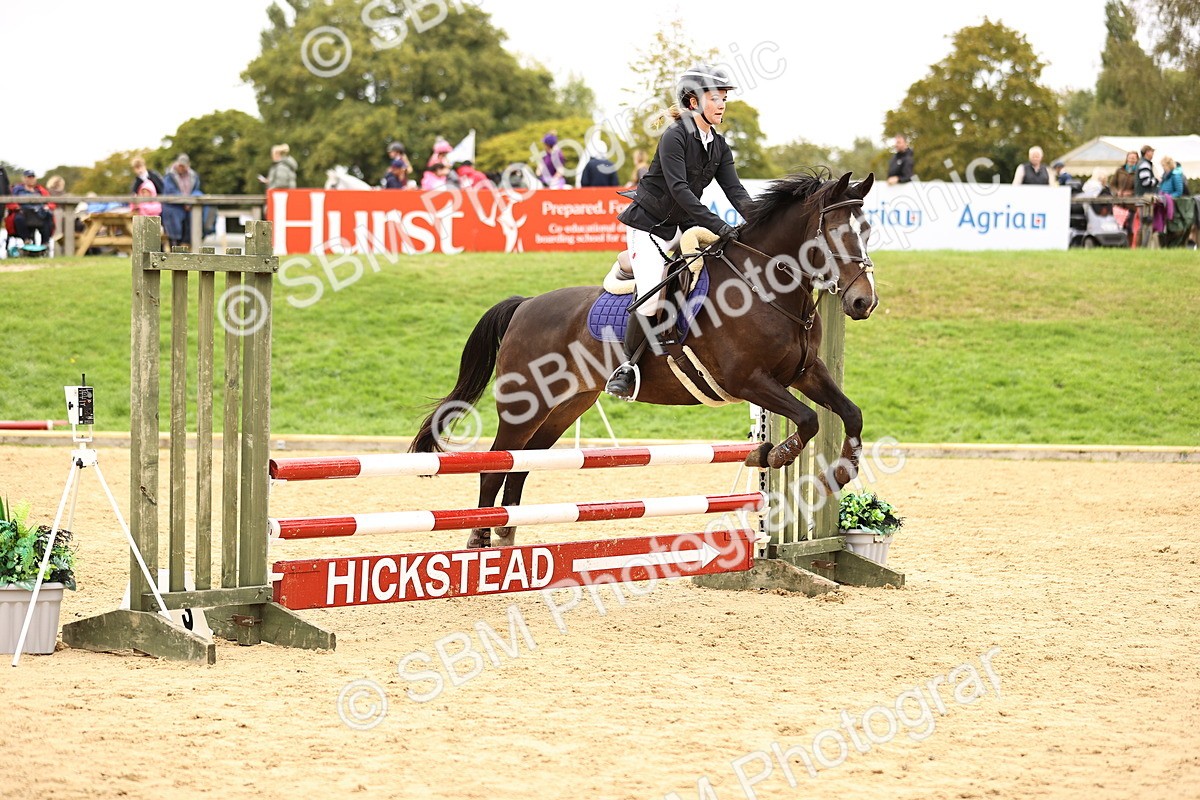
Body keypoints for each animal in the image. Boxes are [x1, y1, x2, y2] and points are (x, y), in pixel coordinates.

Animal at [411, 170, 879, 548]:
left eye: (868, 230)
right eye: (837, 232)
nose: (863, 303)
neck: (765, 288)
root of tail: (524, 306)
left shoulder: (804, 373)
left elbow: (850, 413)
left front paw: (840, 473)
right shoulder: (748, 379)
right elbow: (809, 419)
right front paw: (770, 456)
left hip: (563, 407)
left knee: (523, 465)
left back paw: (507, 532)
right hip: (524, 406)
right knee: (496, 464)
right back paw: (479, 537)